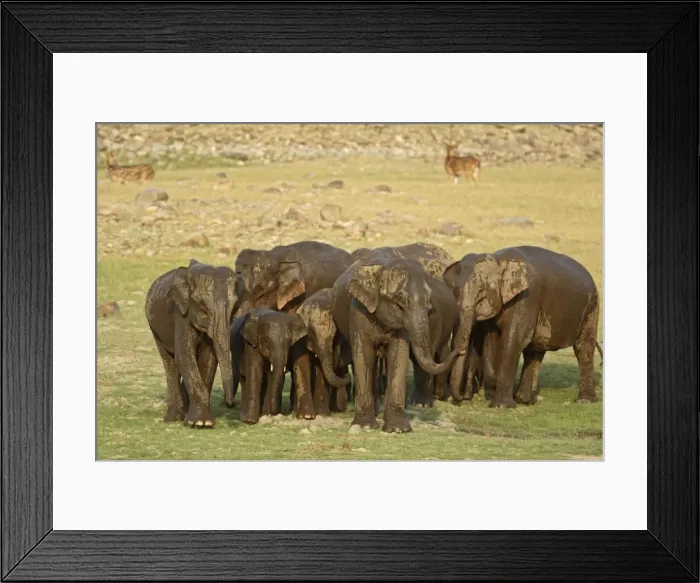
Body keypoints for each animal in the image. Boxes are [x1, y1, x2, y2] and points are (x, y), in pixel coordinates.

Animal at [145, 259, 245, 427]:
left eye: (234, 307)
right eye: (202, 305)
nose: (230, 403)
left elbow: (209, 359)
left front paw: (201, 422)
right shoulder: (180, 313)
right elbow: (184, 354)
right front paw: (200, 423)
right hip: (155, 329)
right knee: (170, 363)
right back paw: (173, 419)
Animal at [295, 289, 353, 418]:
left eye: (335, 333)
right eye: (311, 332)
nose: (348, 376)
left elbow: (324, 367)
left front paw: (322, 414)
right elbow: (302, 362)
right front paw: (306, 416)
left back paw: (338, 409)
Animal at [332, 251, 463, 433]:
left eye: (429, 305)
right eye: (399, 303)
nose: (460, 351)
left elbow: (398, 355)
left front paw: (398, 429)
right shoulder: (357, 310)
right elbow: (364, 355)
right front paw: (365, 426)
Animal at [443, 245, 601, 408]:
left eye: (481, 293)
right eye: (453, 292)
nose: (460, 398)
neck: (500, 260)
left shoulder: (527, 297)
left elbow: (514, 340)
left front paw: (501, 406)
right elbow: (492, 339)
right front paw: (495, 394)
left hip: (592, 307)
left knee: (583, 348)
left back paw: (585, 400)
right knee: (535, 350)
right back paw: (526, 400)